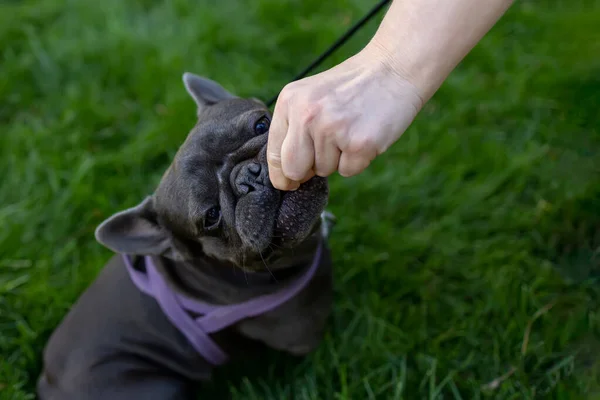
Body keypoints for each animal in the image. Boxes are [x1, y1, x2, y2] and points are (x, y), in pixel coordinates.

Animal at [37, 72, 336, 400]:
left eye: (261, 124)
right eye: (211, 216)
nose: (249, 176)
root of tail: (47, 385)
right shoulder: (302, 332)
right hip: (157, 387)